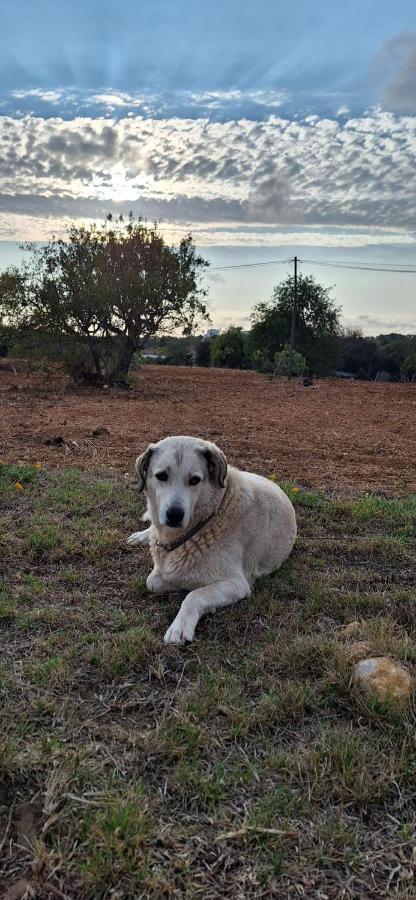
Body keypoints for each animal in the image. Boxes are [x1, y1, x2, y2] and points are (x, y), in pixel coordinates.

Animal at [126, 434, 296, 640]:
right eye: (161, 476)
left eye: (194, 480)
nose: (174, 515)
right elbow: (152, 581)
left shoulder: (237, 584)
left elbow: (194, 595)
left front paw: (180, 626)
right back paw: (141, 536)